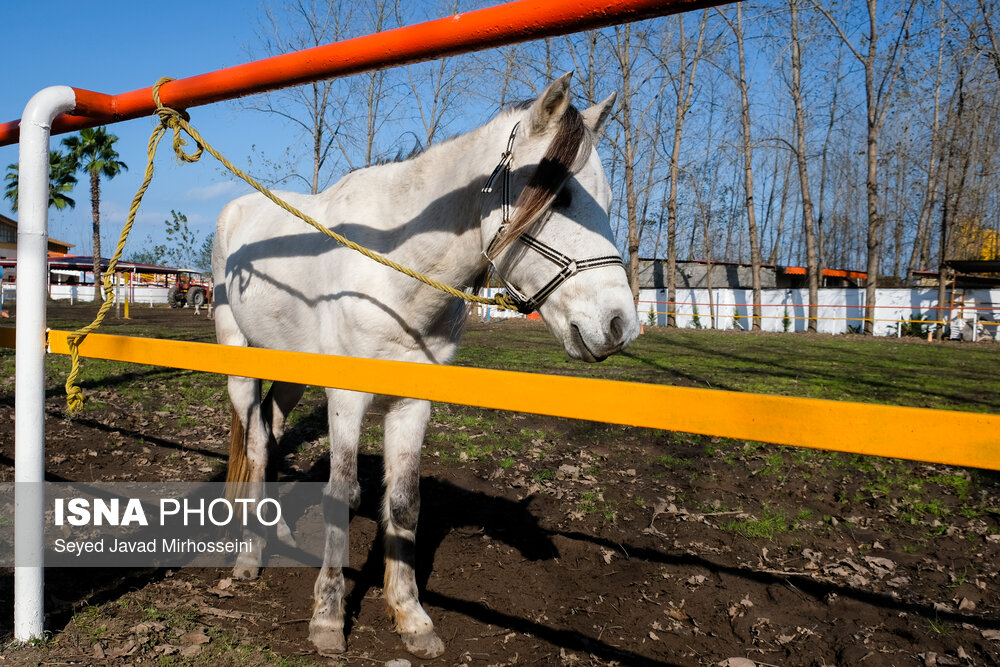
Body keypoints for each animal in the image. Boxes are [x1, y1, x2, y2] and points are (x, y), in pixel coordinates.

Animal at [213, 73, 640, 656]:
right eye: (563, 195)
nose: (619, 324)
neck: (395, 271)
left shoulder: (413, 402)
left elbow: (404, 504)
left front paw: (410, 615)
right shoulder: (346, 398)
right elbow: (342, 494)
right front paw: (328, 617)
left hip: (293, 375)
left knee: (272, 434)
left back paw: (272, 532)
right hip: (240, 362)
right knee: (256, 446)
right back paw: (248, 558)